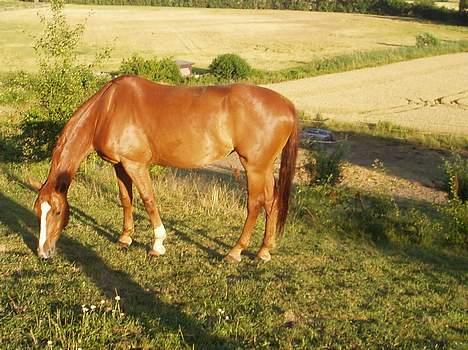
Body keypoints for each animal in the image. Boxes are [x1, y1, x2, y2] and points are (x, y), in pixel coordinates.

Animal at [31, 76, 298, 262]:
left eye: (56, 212)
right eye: (37, 212)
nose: (43, 253)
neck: (106, 109)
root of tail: (286, 105)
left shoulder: (135, 165)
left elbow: (148, 200)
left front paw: (157, 245)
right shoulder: (120, 166)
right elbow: (126, 200)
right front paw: (125, 238)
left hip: (254, 167)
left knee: (255, 205)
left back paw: (235, 252)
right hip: (265, 168)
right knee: (272, 202)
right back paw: (263, 251)